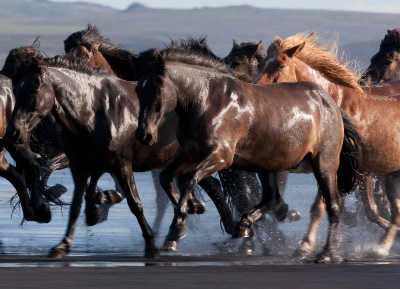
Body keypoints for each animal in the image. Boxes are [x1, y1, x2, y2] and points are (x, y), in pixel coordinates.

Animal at [133, 45, 364, 260]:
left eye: (158, 88)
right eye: (138, 90)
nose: (144, 135)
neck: (207, 100)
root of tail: (330, 104)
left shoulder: (220, 156)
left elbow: (190, 179)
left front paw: (177, 227)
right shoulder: (191, 152)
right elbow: (167, 177)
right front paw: (193, 208)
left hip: (323, 164)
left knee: (333, 206)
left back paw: (326, 253)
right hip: (267, 164)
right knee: (272, 199)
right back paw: (244, 225)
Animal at [255, 31, 400, 255]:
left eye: (280, 66)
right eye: (259, 64)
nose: (256, 93)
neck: (330, 105)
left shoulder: (333, 168)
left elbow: (320, 207)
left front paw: (306, 245)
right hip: (392, 175)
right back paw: (381, 248)